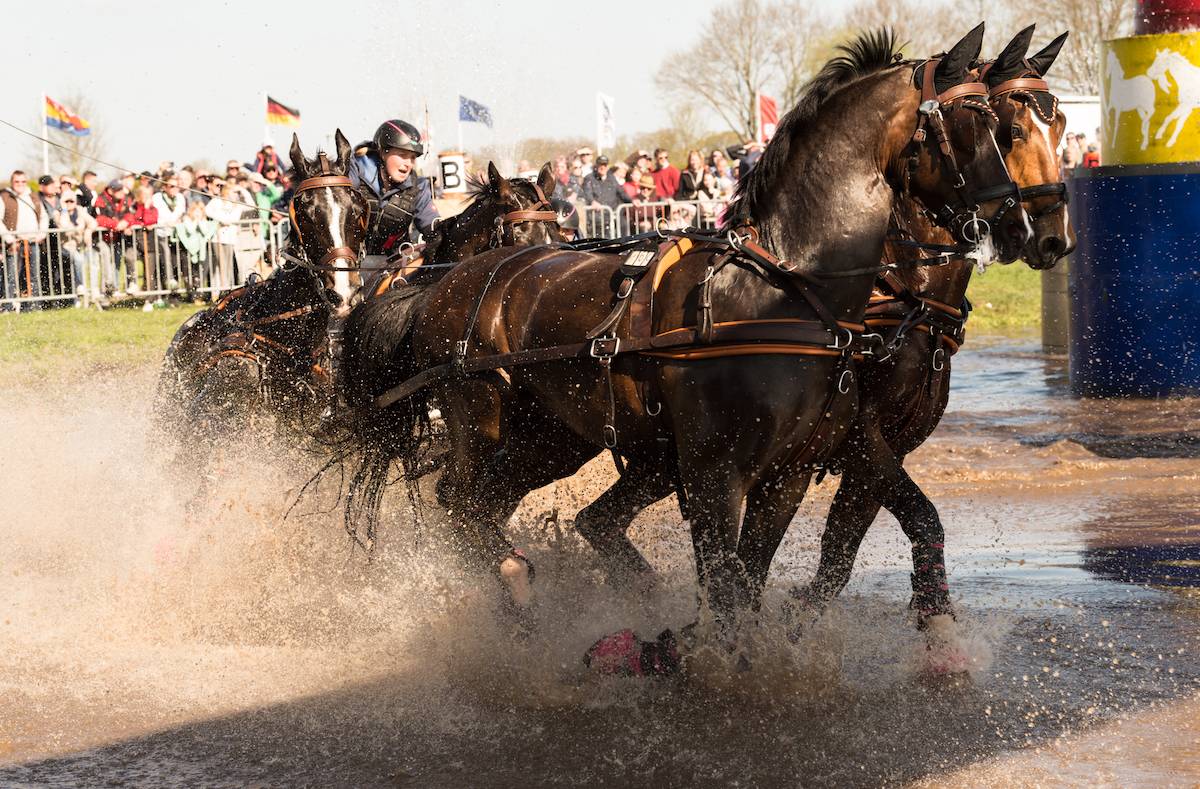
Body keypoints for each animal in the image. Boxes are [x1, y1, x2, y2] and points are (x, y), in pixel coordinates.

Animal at [338, 24, 1032, 637]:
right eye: (975, 122)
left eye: (1006, 123)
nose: (1019, 222)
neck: (786, 288)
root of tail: (443, 282)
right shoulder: (713, 473)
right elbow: (724, 593)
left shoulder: (790, 473)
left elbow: (747, 587)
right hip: (478, 408)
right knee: (458, 501)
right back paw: (516, 585)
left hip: (553, 436)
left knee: (486, 503)